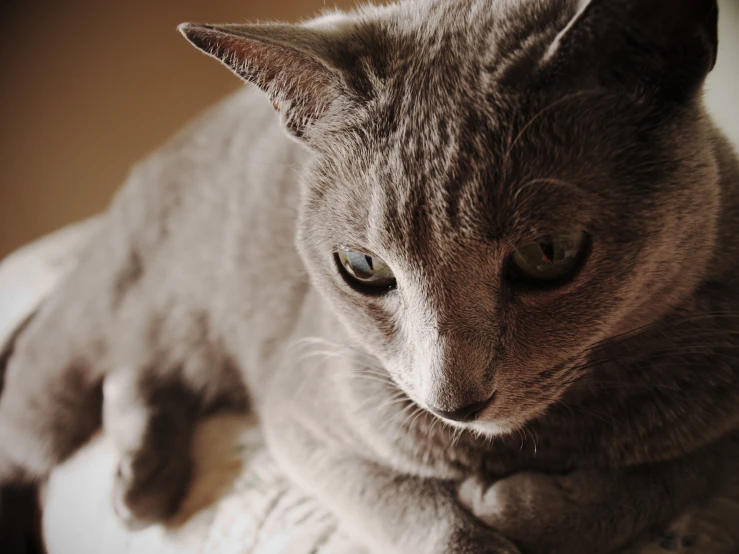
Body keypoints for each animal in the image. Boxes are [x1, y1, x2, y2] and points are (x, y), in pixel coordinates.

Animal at [1, 0, 739, 548]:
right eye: (363, 268)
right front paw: (482, 518)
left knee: (144, 367)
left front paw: (517, 505)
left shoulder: (717, 421)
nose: (452, 402)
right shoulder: (302, 417)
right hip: (86, 343)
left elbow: (666, 478)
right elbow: (423, 519)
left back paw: (142, 478)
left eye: (549, 252)